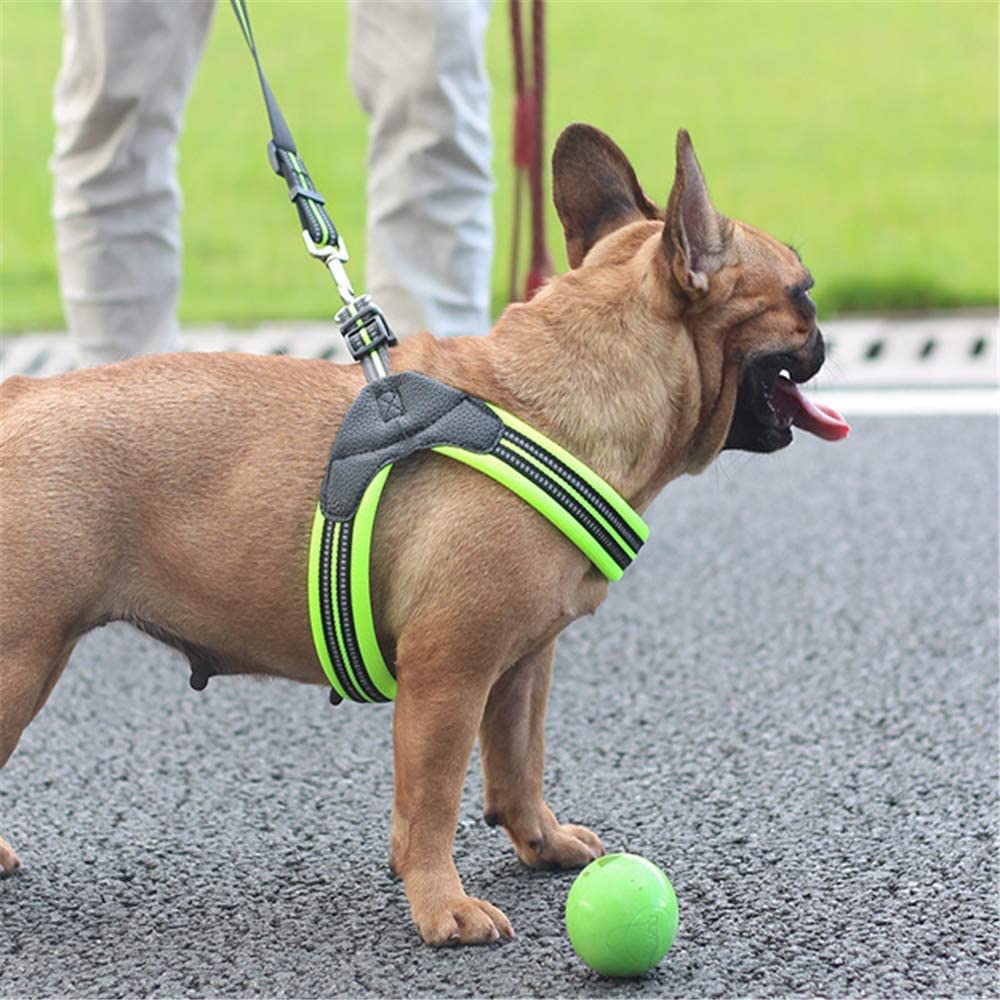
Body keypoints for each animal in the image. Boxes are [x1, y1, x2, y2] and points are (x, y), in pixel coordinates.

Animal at [0, 125, 848, 944]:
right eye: (801, 292)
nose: (825, 336)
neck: (556, 402)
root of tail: (21, 394)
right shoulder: (448, 673)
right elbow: (433, 800)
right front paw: (443, 906)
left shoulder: (522, 665)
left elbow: (519, 762)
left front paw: (541, 843)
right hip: (23, 658)